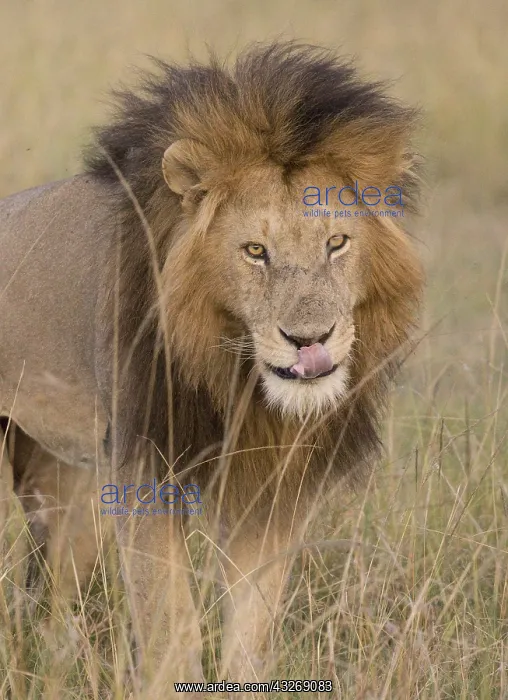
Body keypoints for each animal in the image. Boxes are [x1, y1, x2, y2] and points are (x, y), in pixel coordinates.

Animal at [0, 43, 423, 690]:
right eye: (255, 251)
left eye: (337, 244)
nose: (310, 341)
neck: (234, 377)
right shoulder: (143, 463)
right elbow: (170, 625)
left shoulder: (271, 482)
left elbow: (251, 625)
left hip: (58, 473)